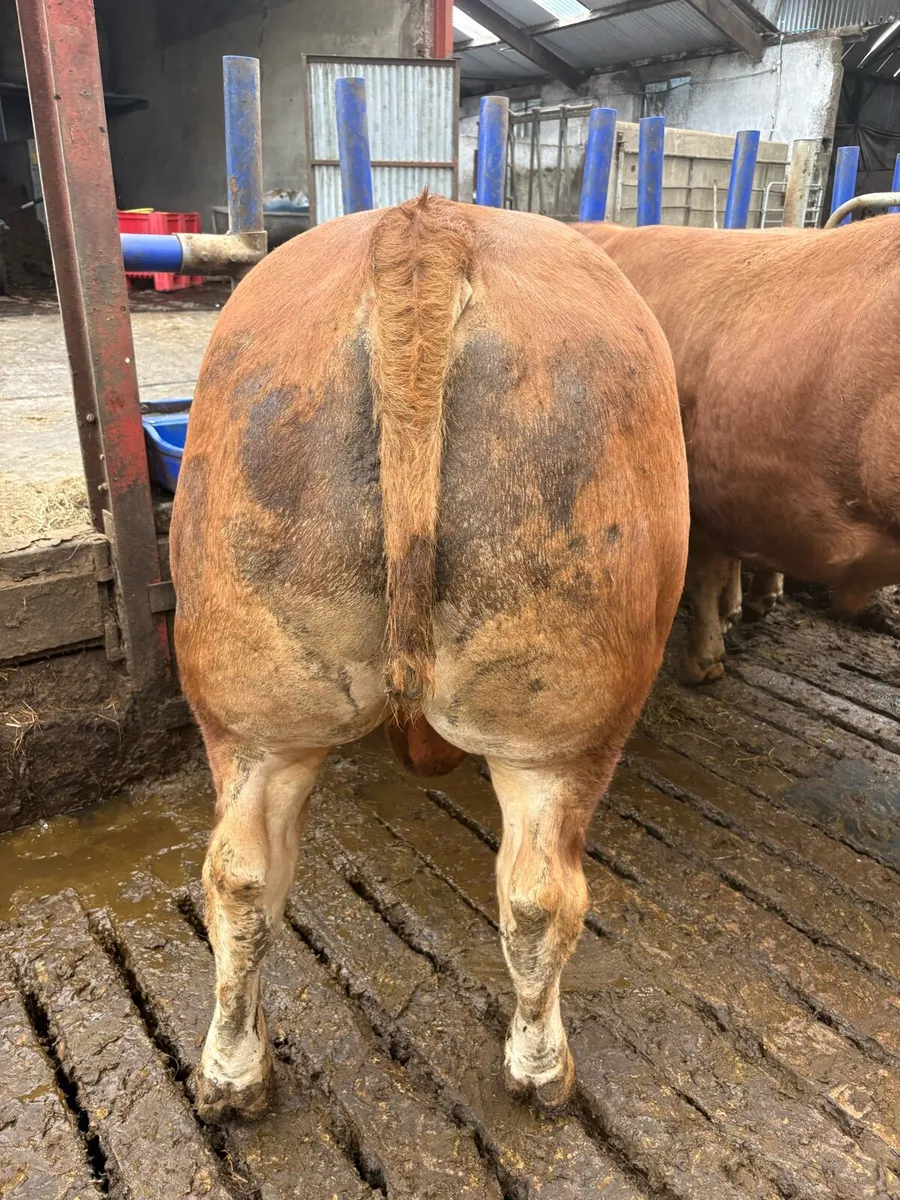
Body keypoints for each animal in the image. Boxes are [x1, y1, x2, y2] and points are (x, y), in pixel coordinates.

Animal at [170, 192, 689, 1123]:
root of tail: (426, 229)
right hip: (561, 729)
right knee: (540, 897)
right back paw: (542, 1070)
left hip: (257, 705)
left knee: (240, 880)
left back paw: (232, 1073)